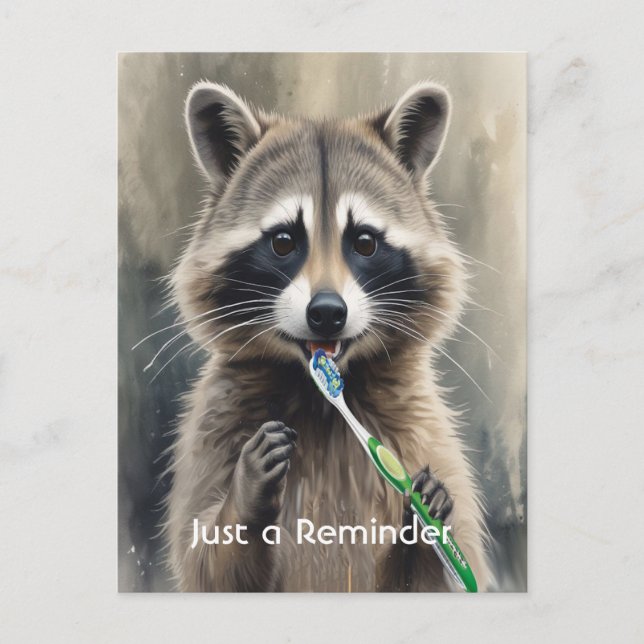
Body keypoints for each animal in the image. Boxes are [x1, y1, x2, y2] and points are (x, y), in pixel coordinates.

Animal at [164, 81, 493, 591]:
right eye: (283, 242)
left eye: (364, 242)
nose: (326, 313)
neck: (324, 398)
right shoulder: (214, 429)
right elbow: (208, 564)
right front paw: (246, 496)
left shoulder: (426, 434)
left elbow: (436, 574)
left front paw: (422, 521)